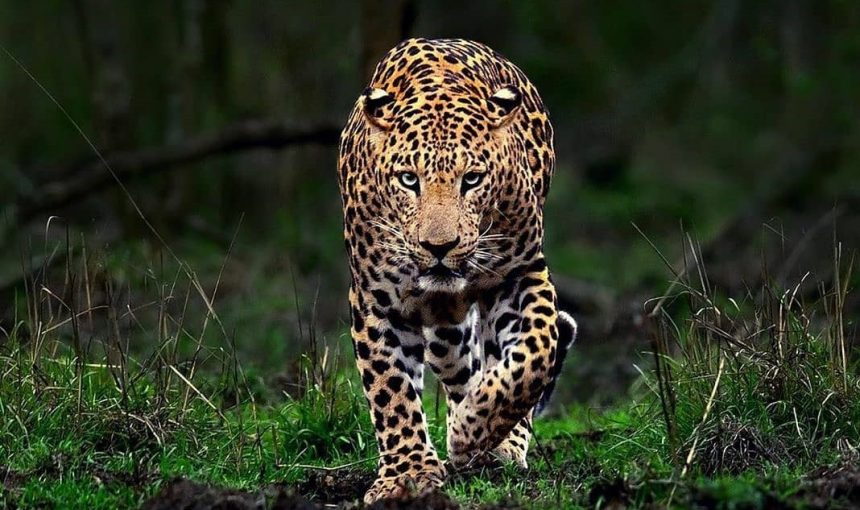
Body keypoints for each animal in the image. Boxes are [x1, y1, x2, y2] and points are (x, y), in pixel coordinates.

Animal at [337, 38, 577, 503]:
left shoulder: (520, 272)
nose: (439, 247)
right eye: (408, 179)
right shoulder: (376, 299)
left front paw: (473, 430)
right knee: (460, 367)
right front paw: (407, 476)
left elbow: (536, 352)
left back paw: (496, 443)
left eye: (472, 179)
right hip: (445, 330)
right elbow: (390, 390)